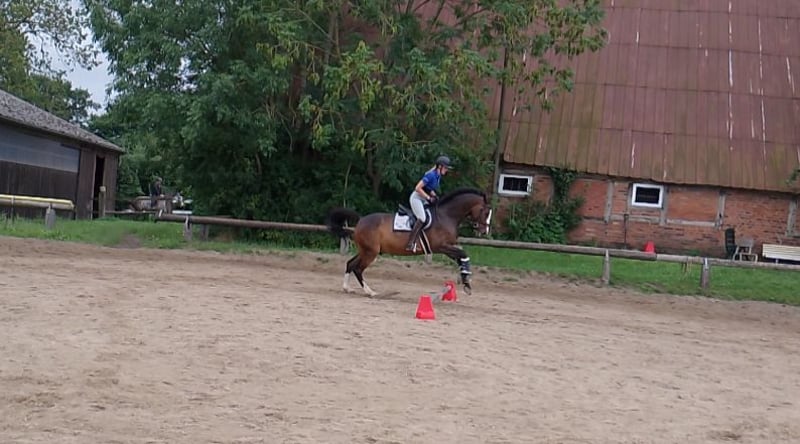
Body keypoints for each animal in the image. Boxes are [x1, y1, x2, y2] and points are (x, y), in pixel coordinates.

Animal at [325, 187, 493, 297]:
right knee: (358, 269)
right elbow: (462, 253)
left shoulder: (447, 247)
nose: (485, 231)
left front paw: (465, 279)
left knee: (350, 264)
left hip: (365, 250)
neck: (446, 215)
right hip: (370, 252)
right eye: (485, 212)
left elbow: (462, 257)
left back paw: (347, 288)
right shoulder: (441, 246)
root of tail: (361, 220)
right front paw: (466, 281)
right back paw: (370, 292)